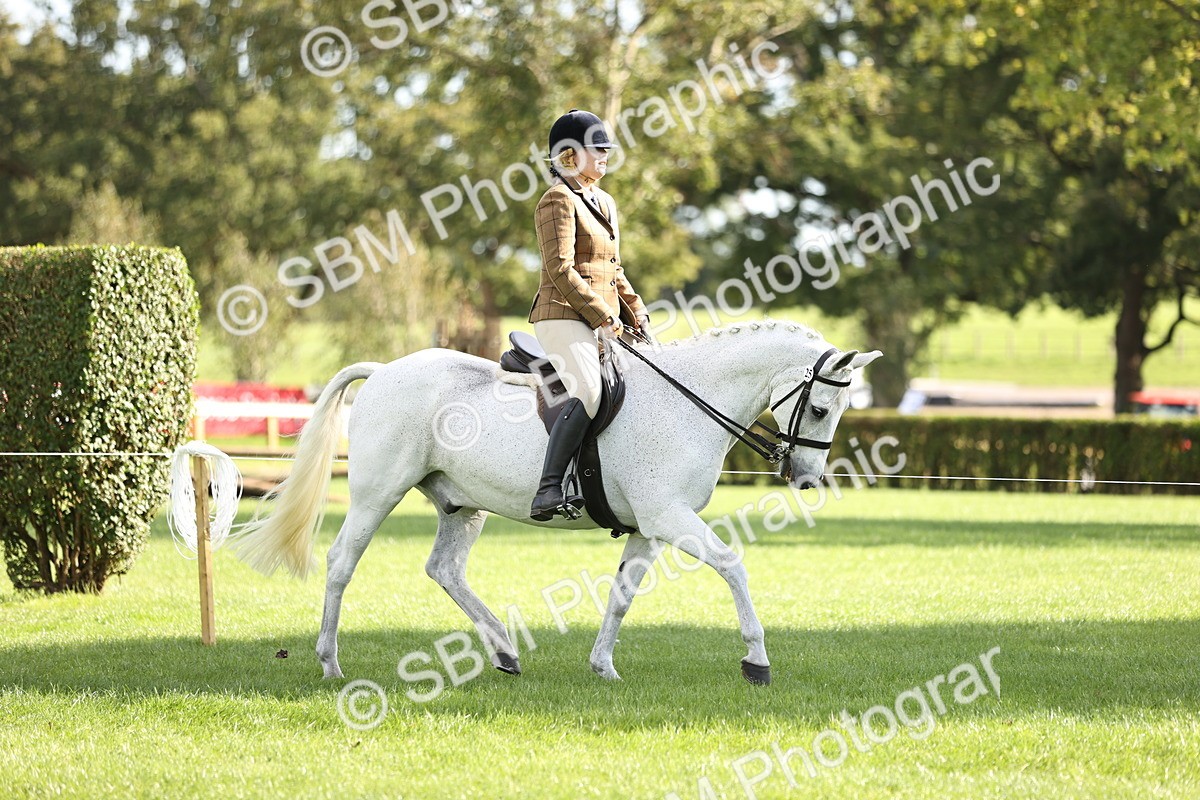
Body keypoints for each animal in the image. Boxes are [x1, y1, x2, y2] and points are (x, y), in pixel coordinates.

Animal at [233, 319, 881, 685]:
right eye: (820, 408)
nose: (806, 480)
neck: (690, 401)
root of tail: (387, 369)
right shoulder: (670, 517)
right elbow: (732, 565)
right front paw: (756, 661)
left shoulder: (649, 527)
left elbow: (621, 596)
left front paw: (603, 667)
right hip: (377, 493)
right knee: (342, 563)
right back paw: (329, 662)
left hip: (461, 504)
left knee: (444, 569)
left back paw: (504, 651)